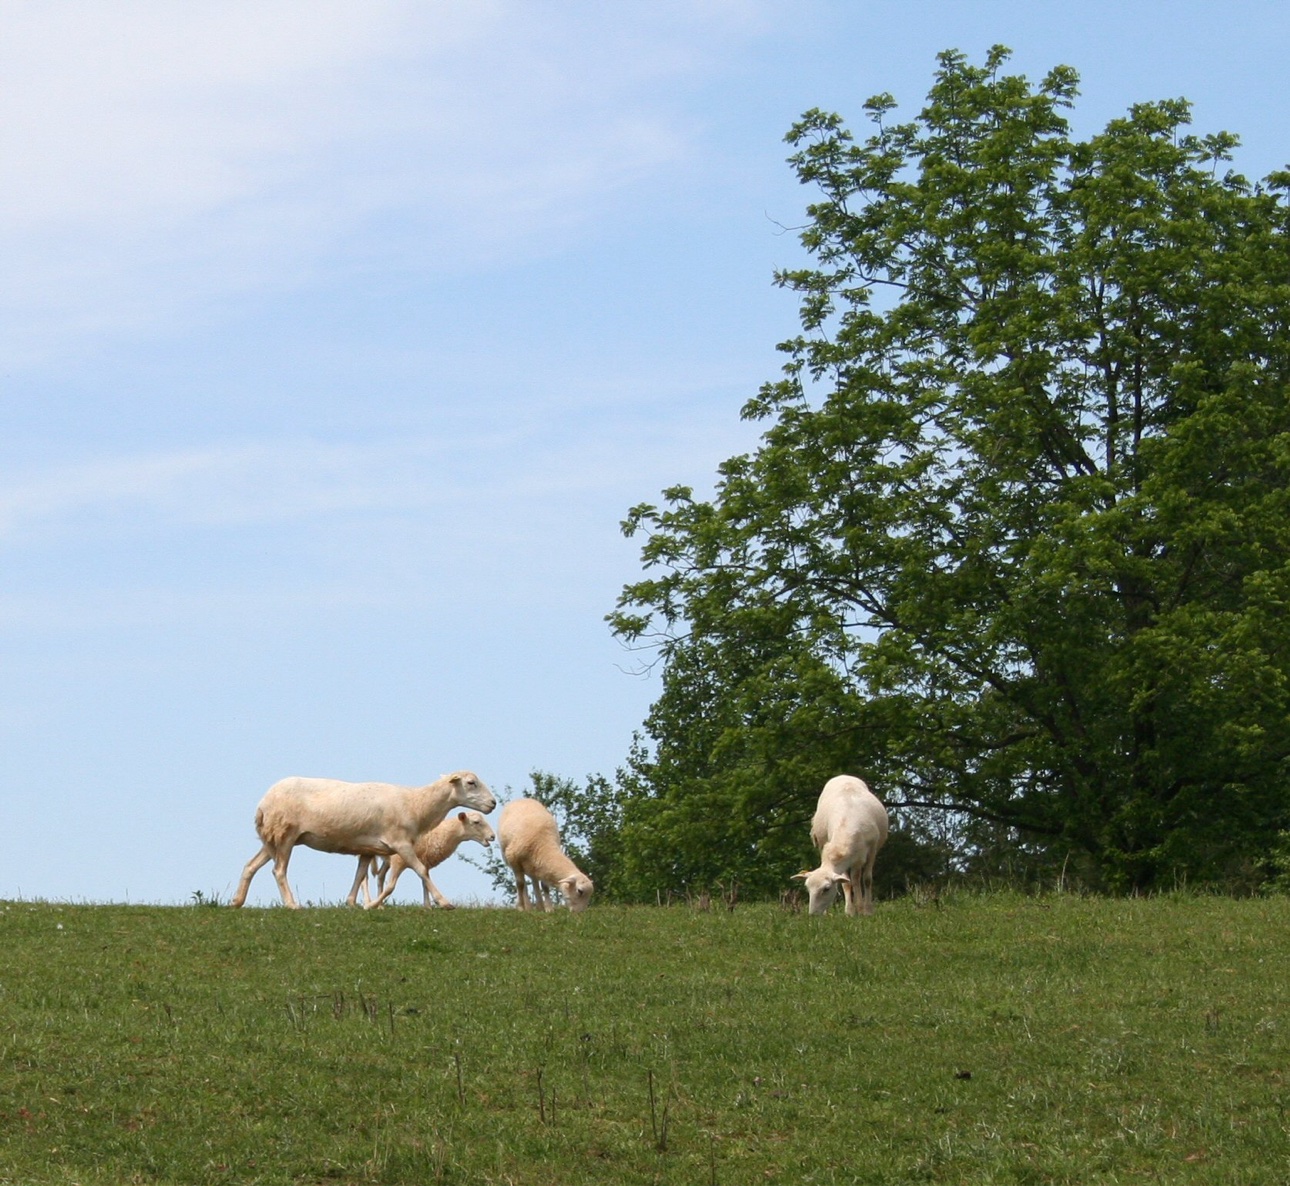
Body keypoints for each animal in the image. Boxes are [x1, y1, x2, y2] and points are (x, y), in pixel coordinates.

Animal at [350, 809, 495, 908]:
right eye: (476, 822)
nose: (492, 836)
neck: (442, 834)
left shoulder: (424, 862)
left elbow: (425, 881)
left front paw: (427, 906)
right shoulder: (398, 860)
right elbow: (391, 886)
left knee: (380, 876)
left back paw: (380, 906)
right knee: (364, 878)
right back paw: (368, 902)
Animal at [792, 775, 888, 916]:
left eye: (826, 889)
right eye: (808, 889)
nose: (813, 915)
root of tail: (843, 776)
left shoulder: (871, 850)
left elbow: (865, 879)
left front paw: (865, 911)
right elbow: (847, 883)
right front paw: (850, 912)